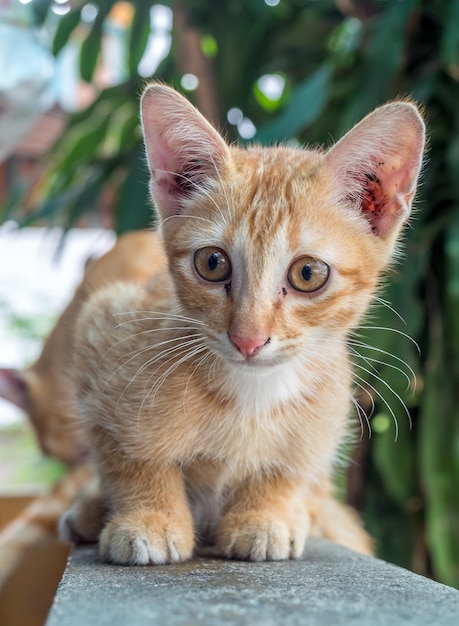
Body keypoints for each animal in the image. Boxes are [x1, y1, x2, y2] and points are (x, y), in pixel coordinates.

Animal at [59, 84, 426, 564]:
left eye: (308, 273)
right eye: (212, 263)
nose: (248, 339)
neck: (251, 394)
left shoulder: (328, 411)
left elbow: (291, 469)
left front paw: (264, 515)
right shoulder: (101, 326)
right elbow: (131, 458)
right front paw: (150, 517)